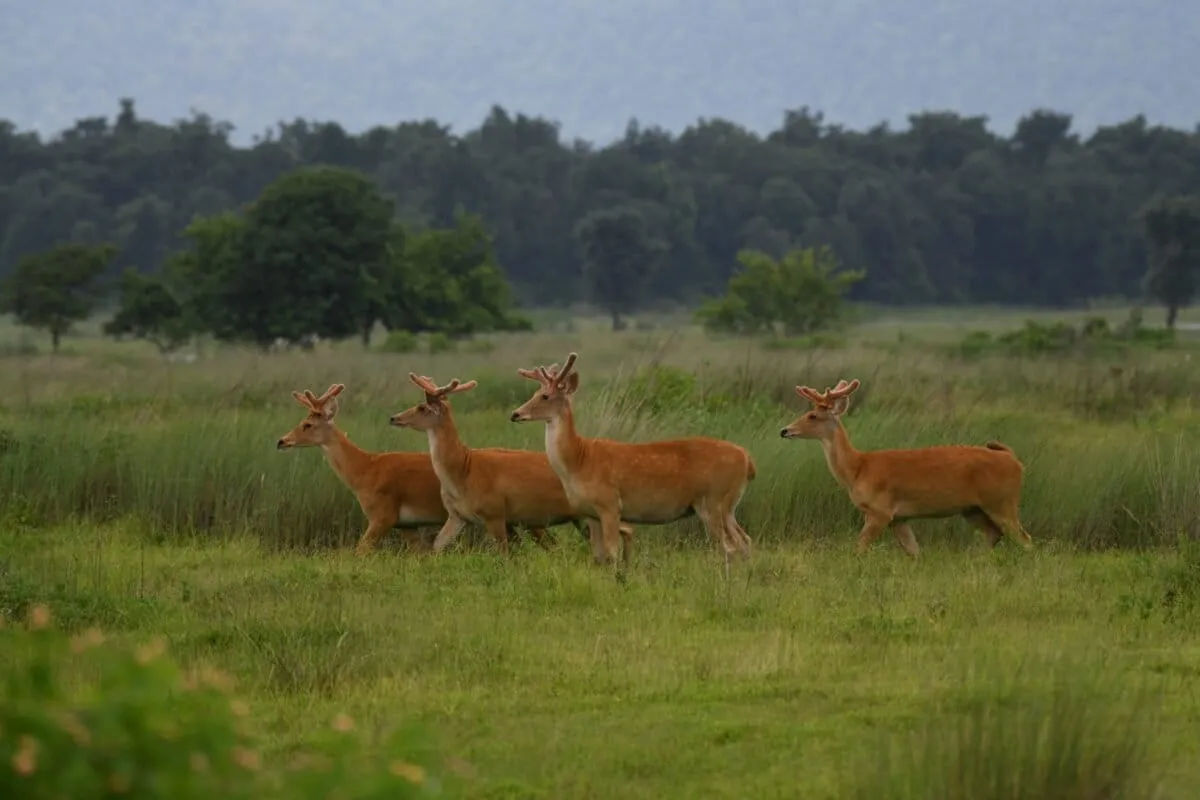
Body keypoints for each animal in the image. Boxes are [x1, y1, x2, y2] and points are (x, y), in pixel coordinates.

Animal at [276, 384, 551, 555]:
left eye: (308, 424)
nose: (281, 441)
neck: (364, 470)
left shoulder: (382, 515)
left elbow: (360, 551)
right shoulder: (406, 525)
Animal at [388, 374, 635, 560]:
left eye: (422, 407)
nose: (393, 418)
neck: (464, 468)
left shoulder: (495, 513)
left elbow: (504, 556)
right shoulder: (458, 516)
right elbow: (437, 546)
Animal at [509, 352, 757, 574]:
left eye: (545, 396)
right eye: (535, 392)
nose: (515, 414)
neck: (579, 460)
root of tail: (748, 460)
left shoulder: (610, 504)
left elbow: (611, 554)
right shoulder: (591, 513)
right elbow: (598, 556)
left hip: (713, 500)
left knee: (728, 547)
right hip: (727, 506)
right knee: (745, 541)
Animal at [779, 378, 1033, 557]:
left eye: (813, 415)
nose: (784, 430)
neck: (858, 468)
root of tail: (1014, 460)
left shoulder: (880, 511)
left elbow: (859, 548)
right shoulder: (899, 518)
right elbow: (914, 552)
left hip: (1002, 502)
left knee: (1025, 539)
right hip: (974, 509)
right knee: (994, 534)